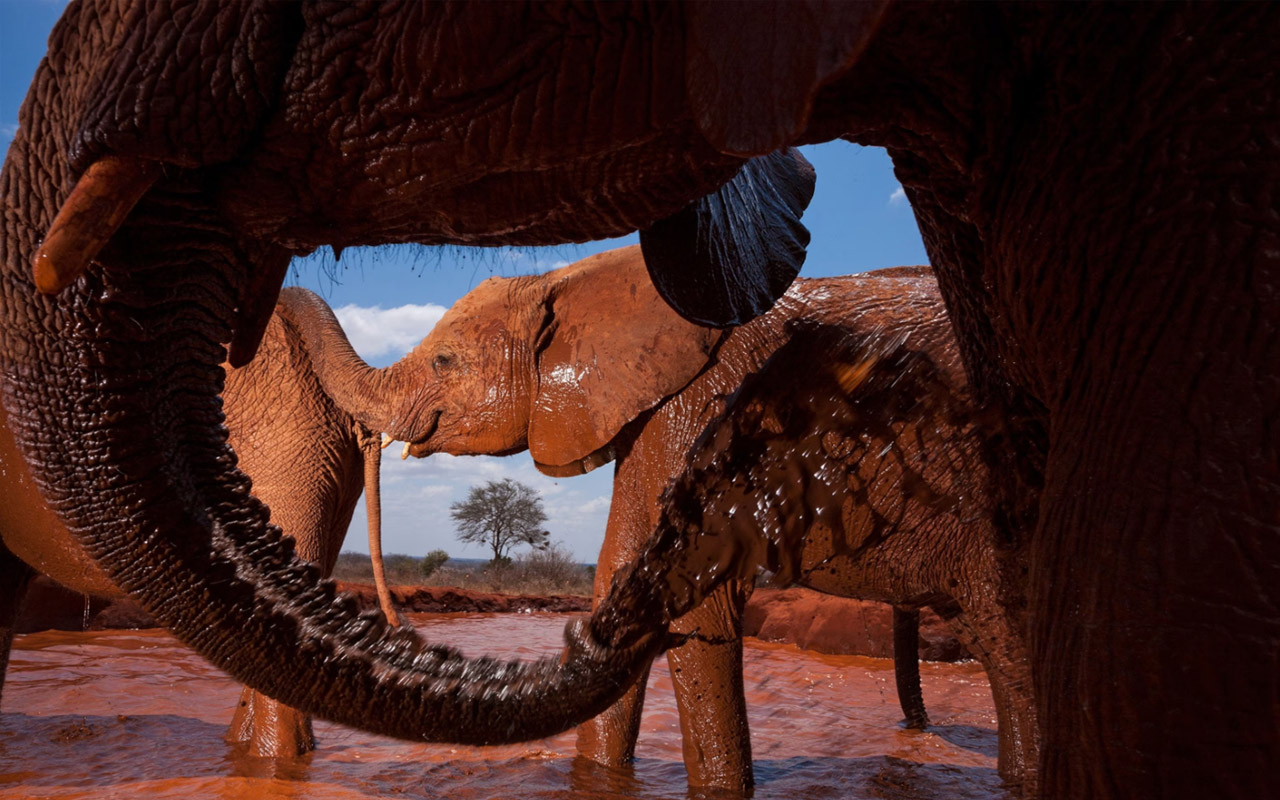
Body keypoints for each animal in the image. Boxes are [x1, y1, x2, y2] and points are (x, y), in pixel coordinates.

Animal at [275, 244, 1034, 793]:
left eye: (442, 359)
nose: (283, 292)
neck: (571, 278)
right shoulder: (654, 417)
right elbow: (620, 578)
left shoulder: (702, 408)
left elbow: (695, 604)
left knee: (1009, 638)